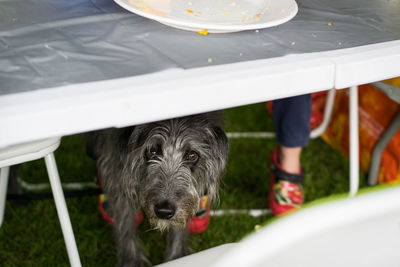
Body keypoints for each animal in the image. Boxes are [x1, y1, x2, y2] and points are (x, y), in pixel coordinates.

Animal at [87, 112, 228, 266]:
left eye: (192, 155)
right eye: (152, 151)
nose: (164, 211)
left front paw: (177, 258)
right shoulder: (117, 167)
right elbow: (124, 221)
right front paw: (130, 261)